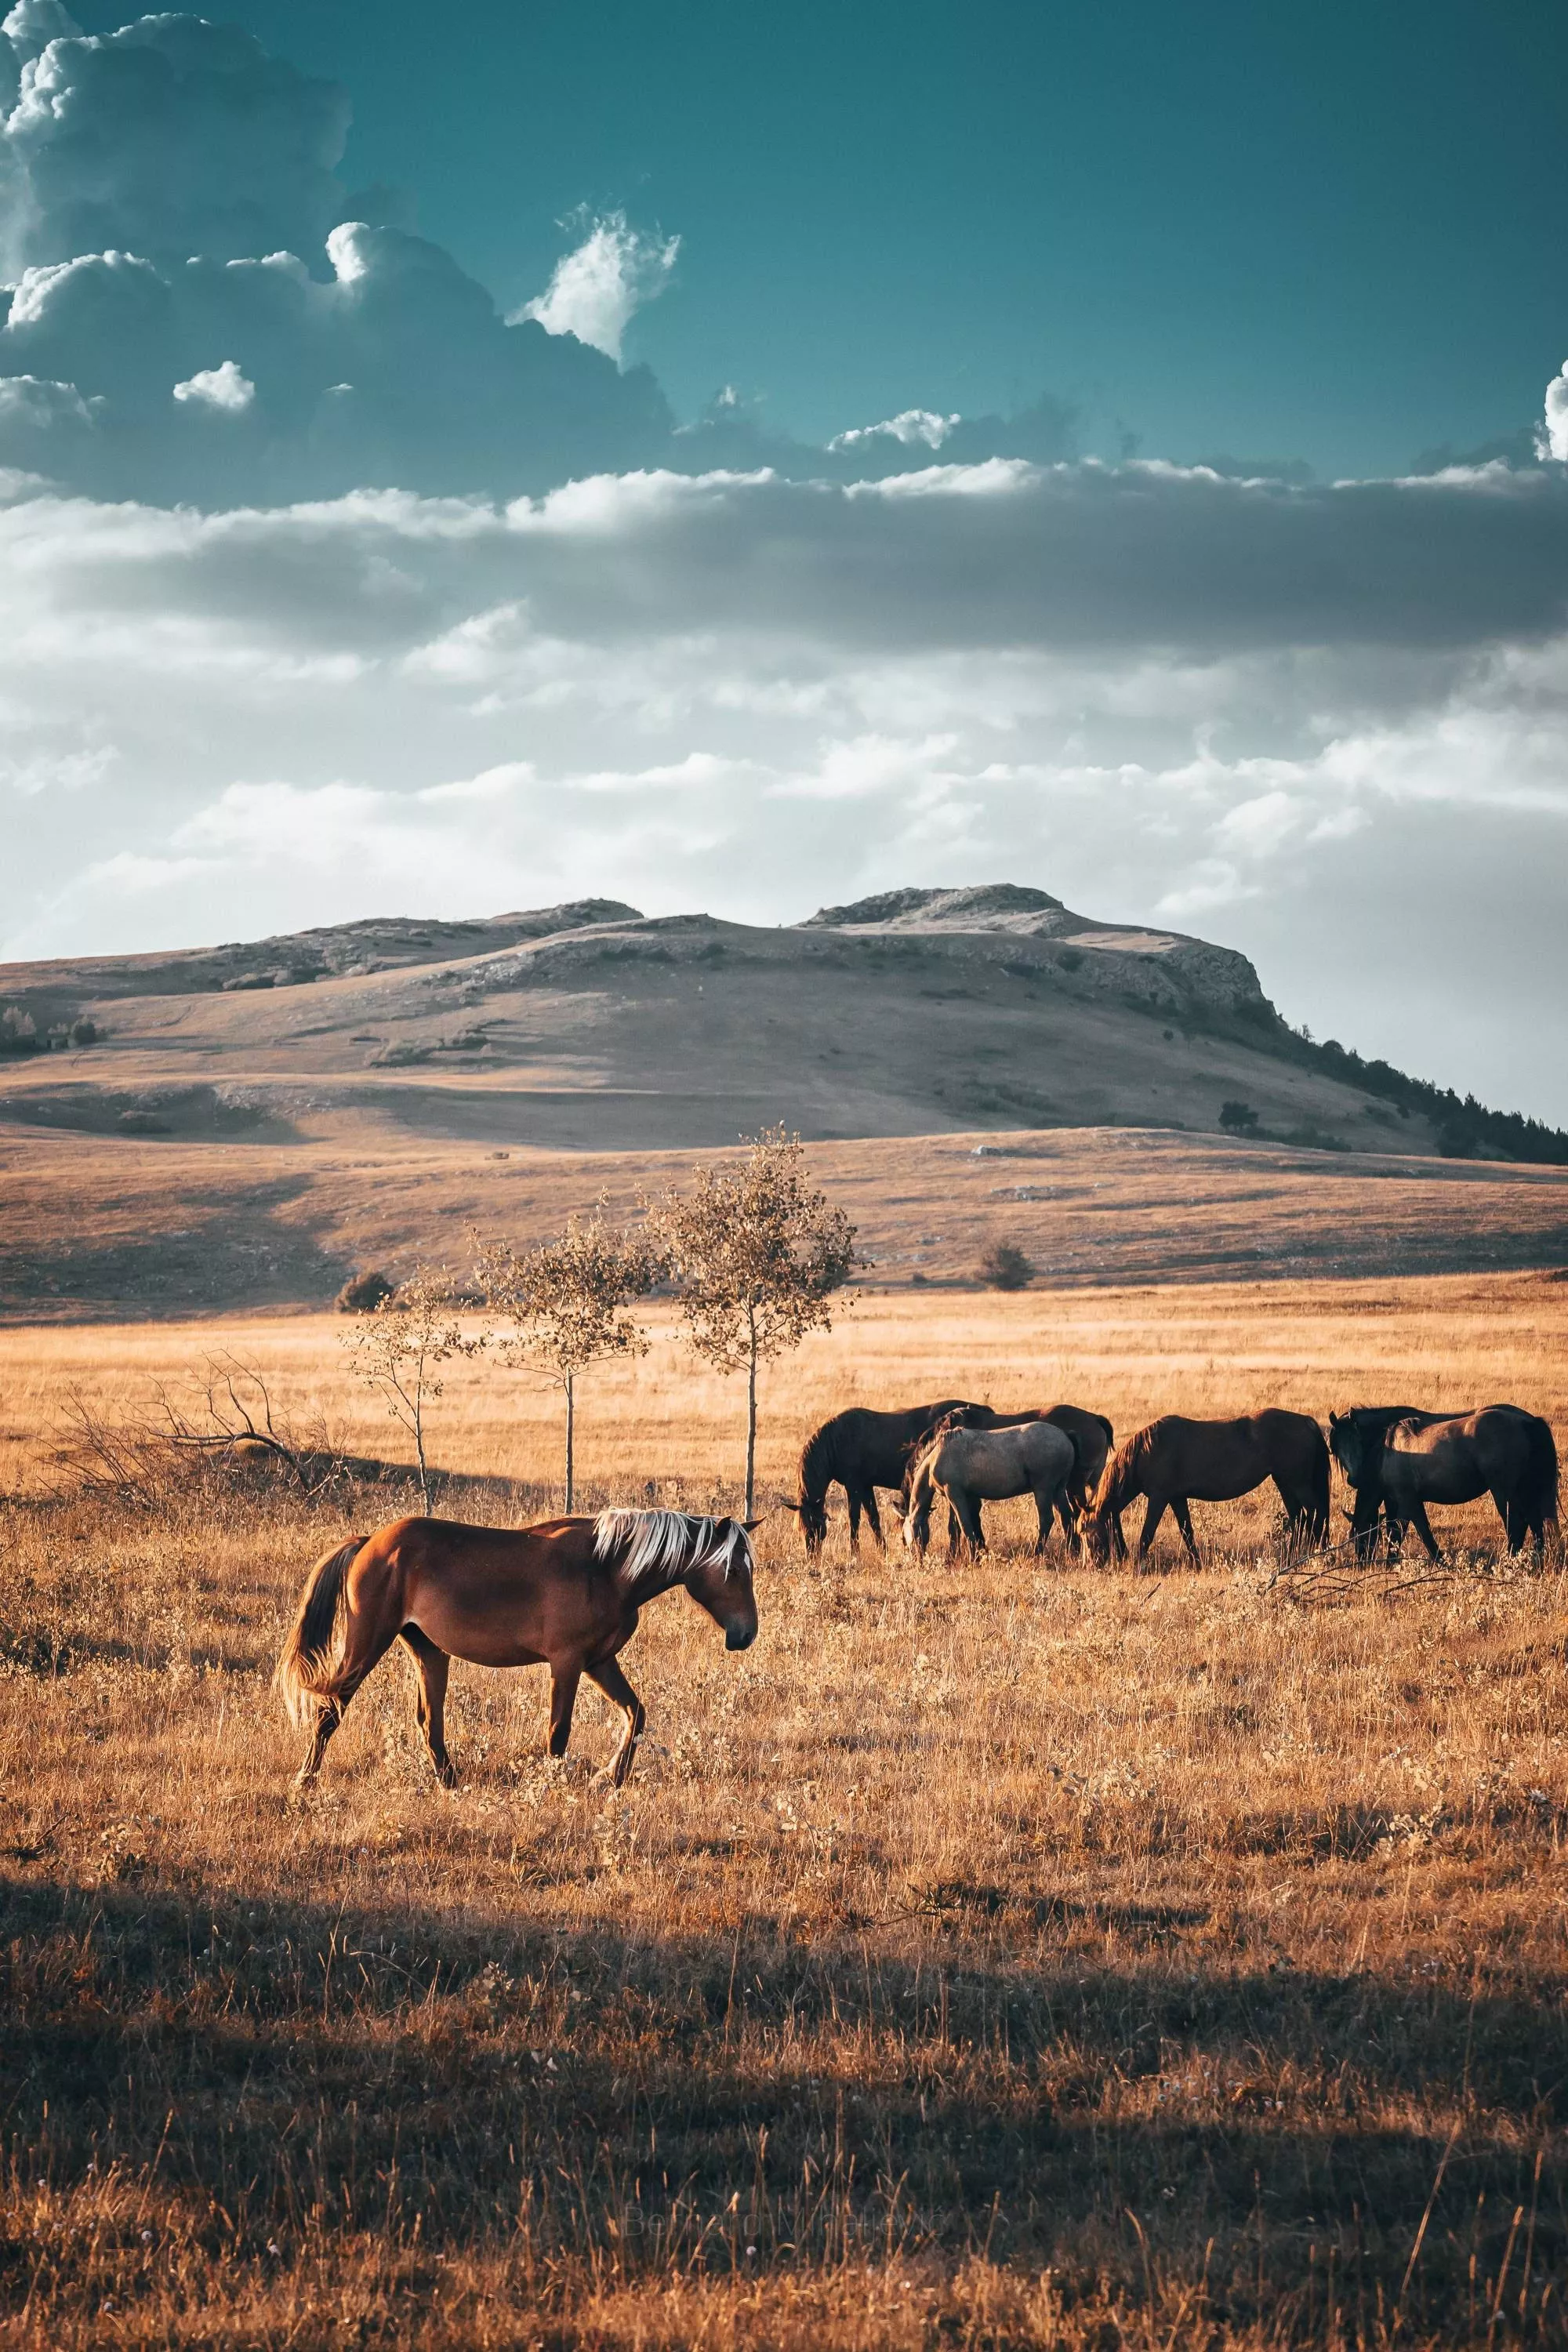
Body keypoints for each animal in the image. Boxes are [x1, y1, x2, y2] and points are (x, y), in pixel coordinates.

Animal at [275, 1508, 759, 1789]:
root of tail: (367, 1543)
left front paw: (610, 1777)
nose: (745, 1635)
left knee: (429, 1722)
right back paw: (304, 1780)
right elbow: (558, 1732)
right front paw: (553, 1786)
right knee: (329, 1713)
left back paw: (451, 1782)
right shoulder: (567, 1663)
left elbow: (635, 1714)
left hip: (429, 1652)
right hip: (365, 1646)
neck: (605, 1568)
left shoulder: (600, 1661)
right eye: (733, 1569)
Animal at [902, 1419, 1078, 1556]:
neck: (937, 1455)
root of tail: (1065, 1436)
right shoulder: (966, 1496)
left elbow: (965, 1525)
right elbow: (966, 1525)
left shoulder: (954, 1494)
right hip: (1058, 1490)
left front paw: (973, 1558)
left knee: (1046, 1519)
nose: (916, 1558)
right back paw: (1073, 1553)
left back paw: (1037, 1554)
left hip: (1043, 1490)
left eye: (906, 1533)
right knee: (1067, 1517)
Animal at [1078, 1411, 1330, 1568]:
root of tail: (1306, 1421)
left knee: (1316, 1514)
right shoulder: (1177, 1498)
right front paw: (1197, 1564)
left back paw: (1316, 1554)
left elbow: (1146, 1534)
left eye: (1085, 1532)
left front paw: (1138, 1567)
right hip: (1284, 1482)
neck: (1147, 1451)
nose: (1090, 1566)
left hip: (1298, 1483)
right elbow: (1187, 1532)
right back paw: (1292, 1557)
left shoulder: (1159, 1498)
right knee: (1299, 1518)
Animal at [1328, 1405, 1558, 1560]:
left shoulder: (1407, 1499)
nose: (1362, 1561)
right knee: (1534, 1521)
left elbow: (1418, 1529)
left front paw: (1439, 1559)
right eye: (1336, 1448)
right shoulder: (1397, 1500)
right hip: (1525, 1489)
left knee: (1516, 1521)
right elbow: (1396, 1531)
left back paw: (1510, 1558)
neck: (1387, 1449)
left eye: (1362, 1534)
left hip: (1504, 1492)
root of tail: (1528, 1422)